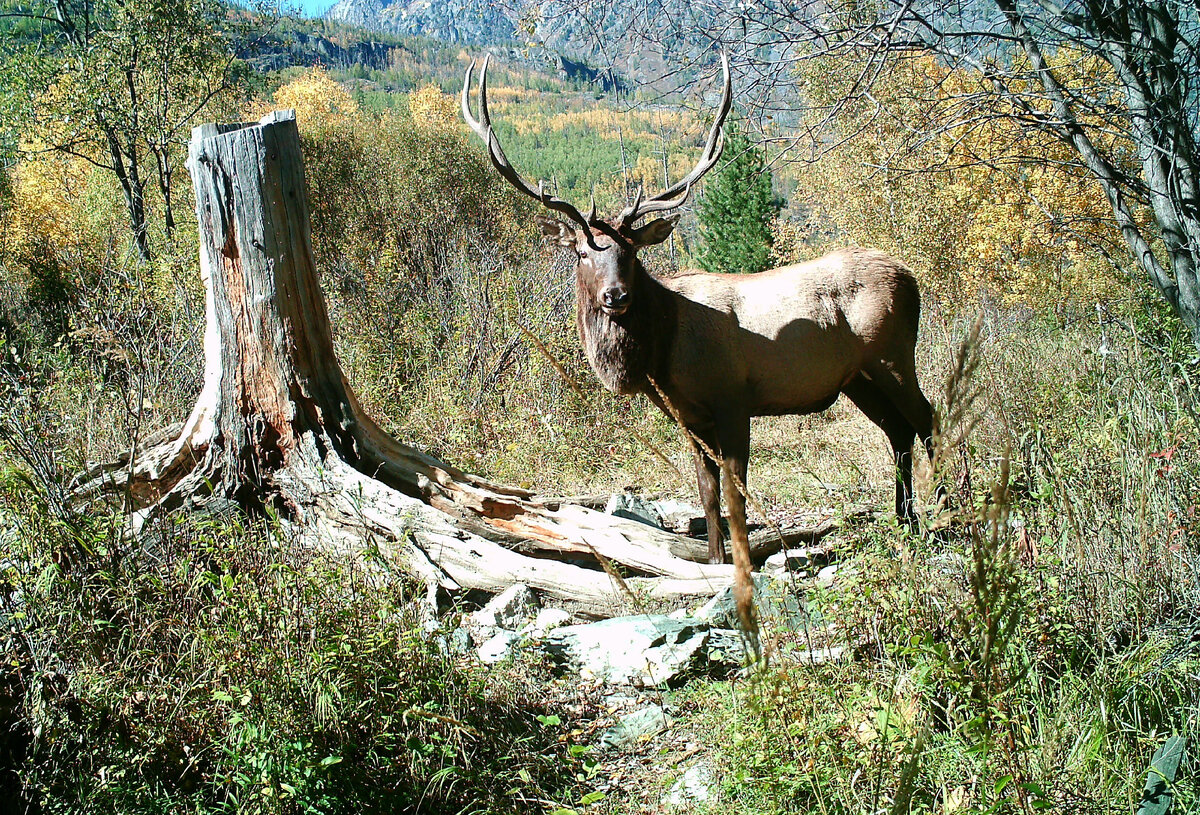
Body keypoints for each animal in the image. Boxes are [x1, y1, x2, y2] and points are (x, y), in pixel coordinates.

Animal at [460, 55, 936, 566]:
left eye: (632, 252)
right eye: (584, 253)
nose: (616, 296)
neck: (662, 354)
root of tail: (911, 277)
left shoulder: (734, 401)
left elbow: (735, 493)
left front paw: (742, 562)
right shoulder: (690, 419)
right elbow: (707, 494)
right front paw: (714, 560)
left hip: (892, 355)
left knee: (927, 417)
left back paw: (951, 502)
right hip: (857, 378)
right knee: (898, 431)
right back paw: (907, 520)